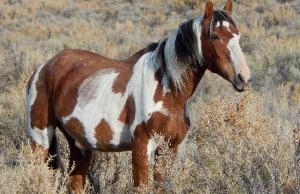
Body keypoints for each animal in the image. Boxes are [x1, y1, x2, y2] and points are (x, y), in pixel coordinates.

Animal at [25, 0, 251, 192]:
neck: (168, 90)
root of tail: (43, 68)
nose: (244, 78)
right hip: (40, 140)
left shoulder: (169, 148)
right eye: (215, 36)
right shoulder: (142, 145)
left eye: (238, 35)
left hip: (79, 145)